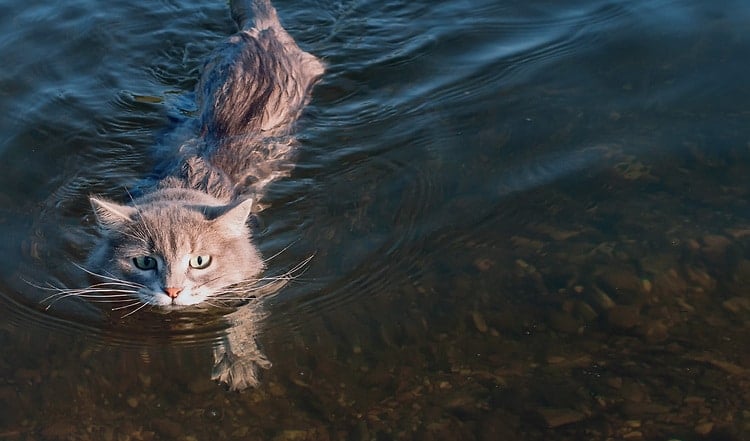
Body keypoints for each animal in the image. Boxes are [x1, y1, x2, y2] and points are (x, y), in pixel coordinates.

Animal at [83, 0, 326, 386]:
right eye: (144, 262)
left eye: (200, 261)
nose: (172, 291)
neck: (184, 181)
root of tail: (263, 28)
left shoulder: (252, 282)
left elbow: (243, 317)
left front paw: (238, 360)